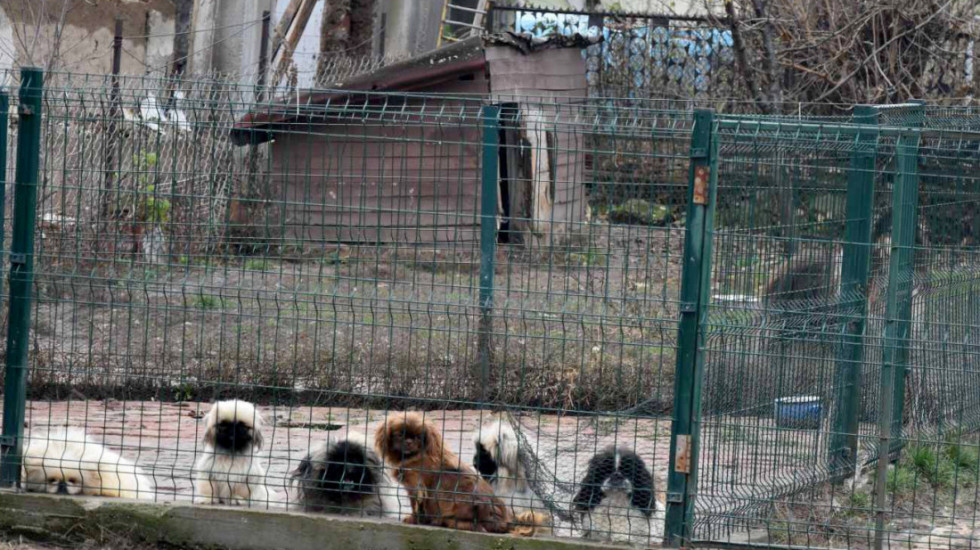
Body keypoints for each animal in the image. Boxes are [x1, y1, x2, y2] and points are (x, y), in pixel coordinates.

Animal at [376, 414, 544, 536]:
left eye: (418, 437)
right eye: (400, 435)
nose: (409, 442)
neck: (413, 456)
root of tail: (507, 521)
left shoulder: (415, 485)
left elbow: (417, 505)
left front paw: (413, 519)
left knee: (478, 526)